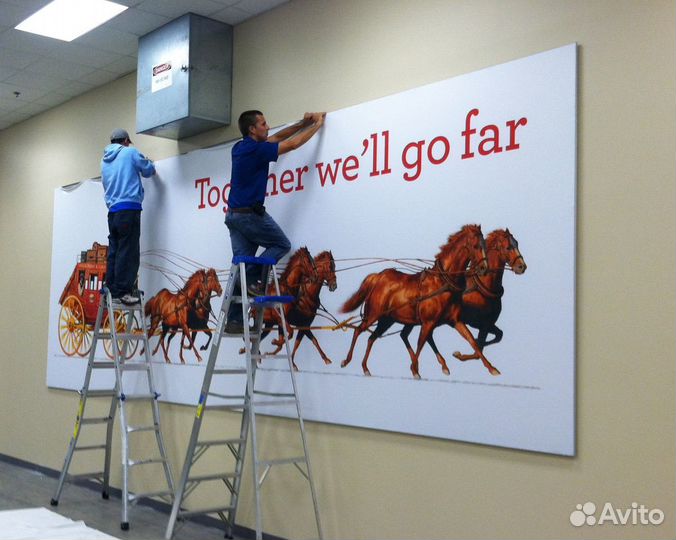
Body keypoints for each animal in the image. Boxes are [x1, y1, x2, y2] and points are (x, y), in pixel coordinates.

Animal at [340, 224, 488, 380]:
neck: (442, 282)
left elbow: (472, 341)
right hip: (373, 315)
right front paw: (415, 369)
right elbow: (421, 343)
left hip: (387, 320)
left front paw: (492, 369)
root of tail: (378, 277)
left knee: (372, 338)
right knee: (358, 330)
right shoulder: (428, 322)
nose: (484, 268)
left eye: (484, 244)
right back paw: (346, 361)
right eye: (476, 246)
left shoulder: (455, 321)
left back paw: (365, 367)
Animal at [404, 228, 524, 372]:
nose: (522, 267)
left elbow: (496, 337)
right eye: (508, 247)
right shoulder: (477, 323)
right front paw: (461, 355)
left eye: (517, 243)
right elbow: (479, 346)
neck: (482, 286)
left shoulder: (487, 323)